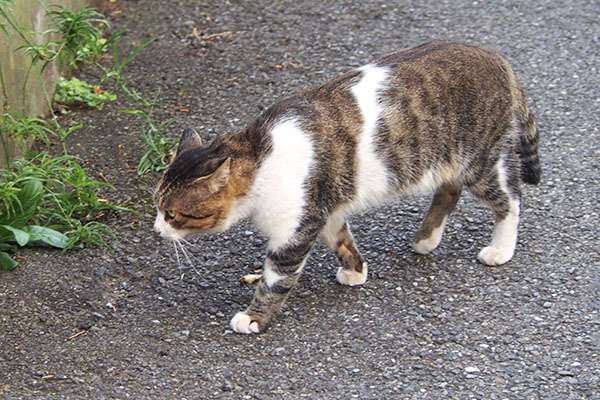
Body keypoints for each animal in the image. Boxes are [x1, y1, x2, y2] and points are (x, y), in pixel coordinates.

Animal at [152, 41, 540, 334]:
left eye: (171, 213)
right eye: (155, 205)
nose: (156, 231)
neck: (259, 154)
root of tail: (494, 55)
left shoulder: (295, 228)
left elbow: (275, 279)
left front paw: (254, 317)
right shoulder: (325, 209)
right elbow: (341, 239)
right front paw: (356, 270)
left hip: (479, 161)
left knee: (511, 198)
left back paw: (500, 248)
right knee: (449, 191)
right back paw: (426, 239)